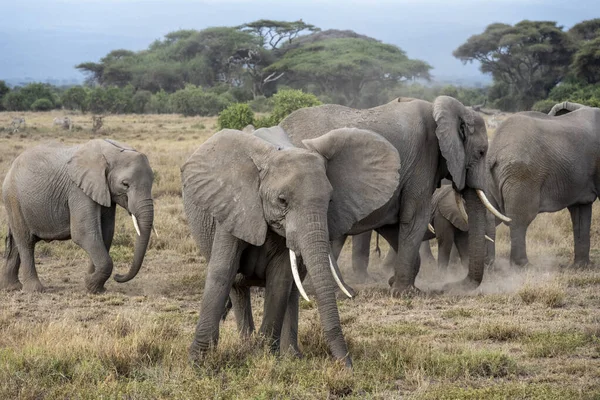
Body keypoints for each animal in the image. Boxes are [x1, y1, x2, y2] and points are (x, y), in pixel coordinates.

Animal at [0, 139, 155, 292]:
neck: (111, 152)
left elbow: (106, 233)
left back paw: (12, 287)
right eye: (125, 184)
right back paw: (35, 290)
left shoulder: (104, 191)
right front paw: (90, 283)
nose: (118, 276)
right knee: (26, 242)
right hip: (13, 198)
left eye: (153, 181)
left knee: (15, 243)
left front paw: (93, 285)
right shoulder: (78, 190)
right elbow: (84, 233)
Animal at [180, 126, 400, 368]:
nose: (348, 366)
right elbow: (223, 271)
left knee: (293, 288)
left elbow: (281, 278)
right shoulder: (234, 208)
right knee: (238, 287)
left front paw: (264, 355)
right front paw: (197, 363)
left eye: (330, 201)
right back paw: (247, 344)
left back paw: (291, 355)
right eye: (282, 201)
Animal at [282, 95, 510, 296]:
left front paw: (397, 284)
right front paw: (405, 292)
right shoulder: (423, 159)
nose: (449, 287)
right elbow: (415, 217)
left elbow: (393, 224)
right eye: (481, 152)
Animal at [488, 101, 600, 268]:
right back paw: (523, 266)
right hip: (521, 175)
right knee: (519, 218)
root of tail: (494, 151)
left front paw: (581, 267)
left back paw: (487, 265)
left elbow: (580, 210)